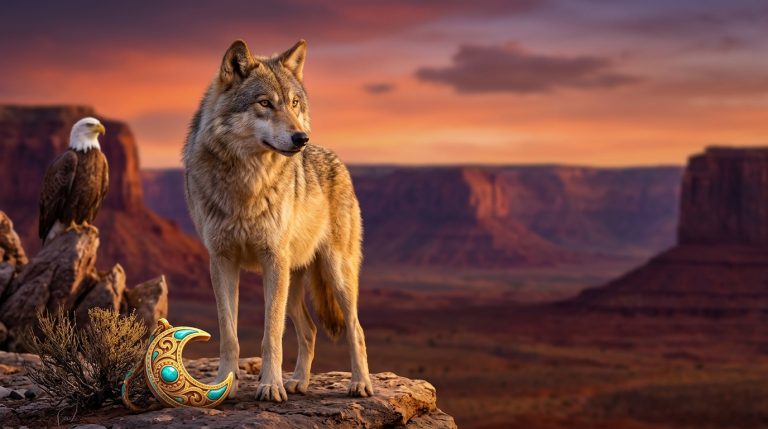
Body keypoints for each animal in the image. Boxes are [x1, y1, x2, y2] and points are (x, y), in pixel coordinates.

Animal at [182, 39, 373, 402]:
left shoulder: (272, 260)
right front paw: (224, 384)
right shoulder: (222, 260)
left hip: (334, 273)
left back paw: (360, 384)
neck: (247, 183)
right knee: (310, 330)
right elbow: (229, 334)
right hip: (293, 279)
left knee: (355, 327)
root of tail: (337, 159)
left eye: (294, 102)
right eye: (265, 103)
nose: (301, 138)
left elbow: (271, 334)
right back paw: (299, 381)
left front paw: (270, 385)